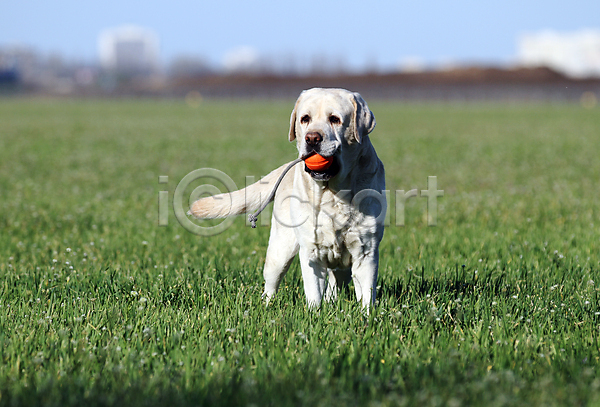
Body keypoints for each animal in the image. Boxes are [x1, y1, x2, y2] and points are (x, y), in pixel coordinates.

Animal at [191, 88, 384, 310]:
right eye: (305, 119)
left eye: (335, 119)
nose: (312, 138)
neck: (334, 193)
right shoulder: (311, 252)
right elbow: (313, 293)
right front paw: (315, 314)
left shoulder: (366, 253)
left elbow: (367, 295)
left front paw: (366, 316)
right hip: (279, 251)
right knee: (271, 285)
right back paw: (267, 306)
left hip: (340, 267)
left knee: (335, 284)